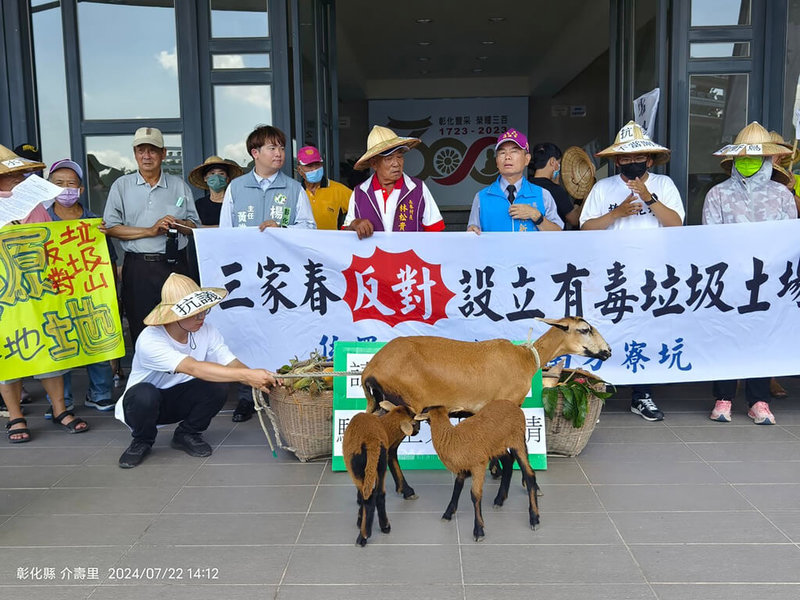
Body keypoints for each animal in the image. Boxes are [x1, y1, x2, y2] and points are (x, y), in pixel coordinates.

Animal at [342, 400, 418, 548]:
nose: (417, 431)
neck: (384, 425)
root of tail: (372, 440)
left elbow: (363, 494)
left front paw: (359, 518)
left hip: (356, 467)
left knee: (369, 497)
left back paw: (363, 536)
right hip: (380, 464)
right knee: (380, 494)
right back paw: (385, 526)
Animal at [416, 400, 540, 540]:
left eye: (426, 410)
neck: (452, 438)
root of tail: (513, 405)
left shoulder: (478, 465)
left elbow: (475, 495)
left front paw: (479, 530)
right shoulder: (463, 467)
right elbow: (457, 487)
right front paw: (448, 514)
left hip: (517, 440)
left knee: (529, 474)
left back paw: (534, 519)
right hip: (497, 446)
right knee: (508, 462)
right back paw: (499, 500)